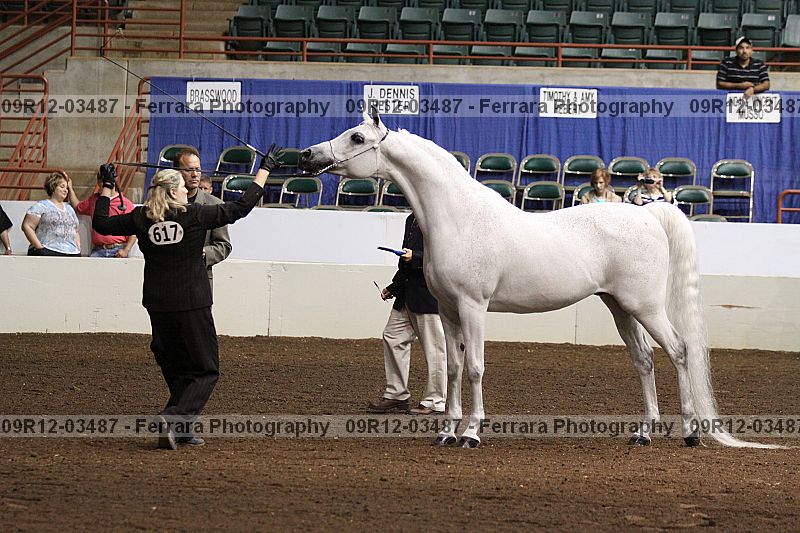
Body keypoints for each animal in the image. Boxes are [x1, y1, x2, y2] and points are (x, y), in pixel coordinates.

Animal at [299, 112, 780, 449]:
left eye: (357, 138)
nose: (307, 156)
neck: (459, 217)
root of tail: (647, 213)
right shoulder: (449, 310)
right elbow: (452, 368)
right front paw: (447, 431)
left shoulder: (474, 307)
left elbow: (475, 367)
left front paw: (471, 433)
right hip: (619, 307)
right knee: (643, 360)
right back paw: (644, 432)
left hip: (644, 306)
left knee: (679, 351)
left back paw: (691, 433)